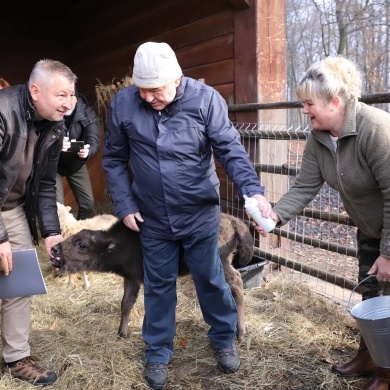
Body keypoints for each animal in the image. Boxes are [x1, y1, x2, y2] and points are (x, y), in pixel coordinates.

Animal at [51, 213, 253, 342]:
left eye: (81, 245)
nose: (54, 249)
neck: (119, 244)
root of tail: (234, 220)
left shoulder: (146, 279)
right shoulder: (131, 279)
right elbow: (126, 304)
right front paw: (121, 334)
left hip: (220, 263)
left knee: (237, 283)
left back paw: (240, 333)